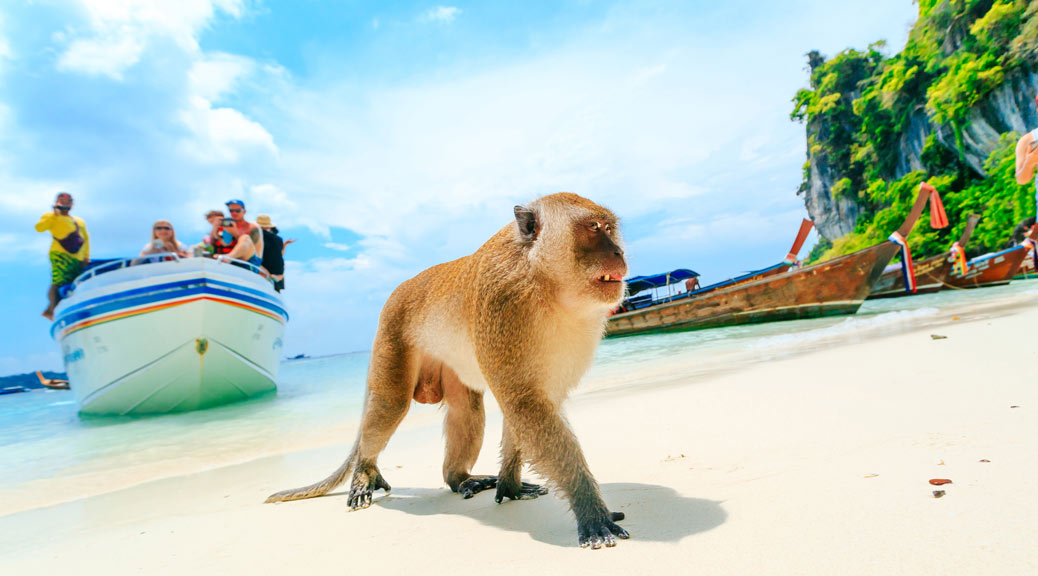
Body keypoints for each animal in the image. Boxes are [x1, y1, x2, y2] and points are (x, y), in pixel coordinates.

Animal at [263, 194, 626, 547]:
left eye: (609, 227)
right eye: (594, 228)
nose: (619, 252)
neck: (543, 279)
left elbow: (526, 407)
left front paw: (510, 486)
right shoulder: (503, 305)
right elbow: (524, 403)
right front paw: (590, 509)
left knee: (466, 410)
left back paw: (459, 479)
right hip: (391, 336)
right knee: (391, 404)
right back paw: (365, 472)